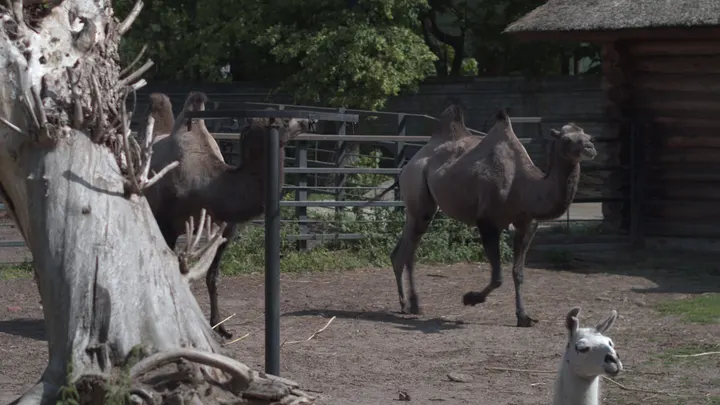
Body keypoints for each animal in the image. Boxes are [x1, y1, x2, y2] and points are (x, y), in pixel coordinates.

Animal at [144, 91, 313, 339]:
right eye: (280, 119)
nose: (308, 121)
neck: (208, 185)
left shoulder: (225, 230)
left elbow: (213, 277)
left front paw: (219, 327)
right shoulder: (168, 225)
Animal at [385, 104, 596, 326]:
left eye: (589, 136)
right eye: (567, 139)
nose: (590, 148)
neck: (524, 185)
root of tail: (409, 164)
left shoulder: (527, 224)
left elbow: (518, 273)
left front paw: (524, 316)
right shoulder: (487, 222)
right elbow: (497, 277)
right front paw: (470, 298)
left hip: (418, 205)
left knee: (403, 250)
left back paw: (407, 303)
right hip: (418, 193)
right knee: (409, 248)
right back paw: (412, 304)